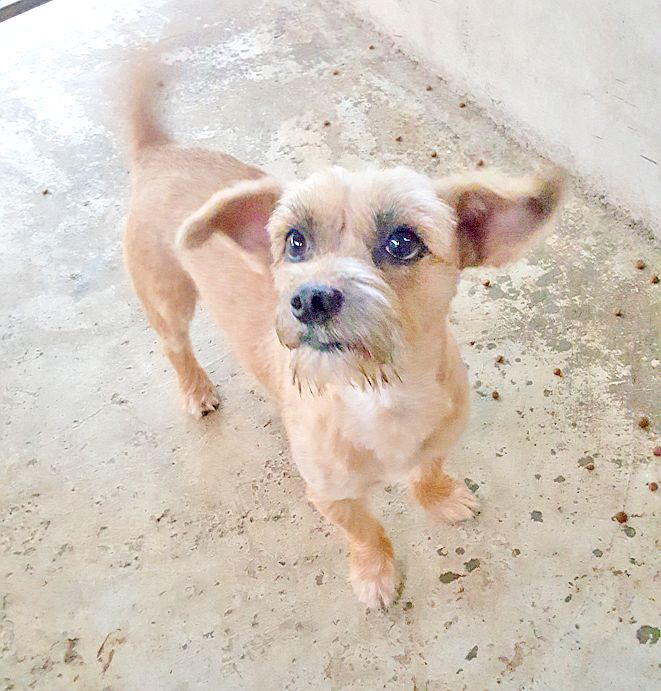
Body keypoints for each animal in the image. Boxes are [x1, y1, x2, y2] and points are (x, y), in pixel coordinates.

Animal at [122, 60, 564, 612]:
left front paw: (440, 498)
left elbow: (428, 472)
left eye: (402, 241)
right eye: (295, 241)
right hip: (167, 298)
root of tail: (161, 151)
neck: (380, 394)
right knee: (176, 346)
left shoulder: (440, 440)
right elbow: (366, 532)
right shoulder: (332, 495)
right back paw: (196, 388)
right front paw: (375, 574)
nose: (309, 299)